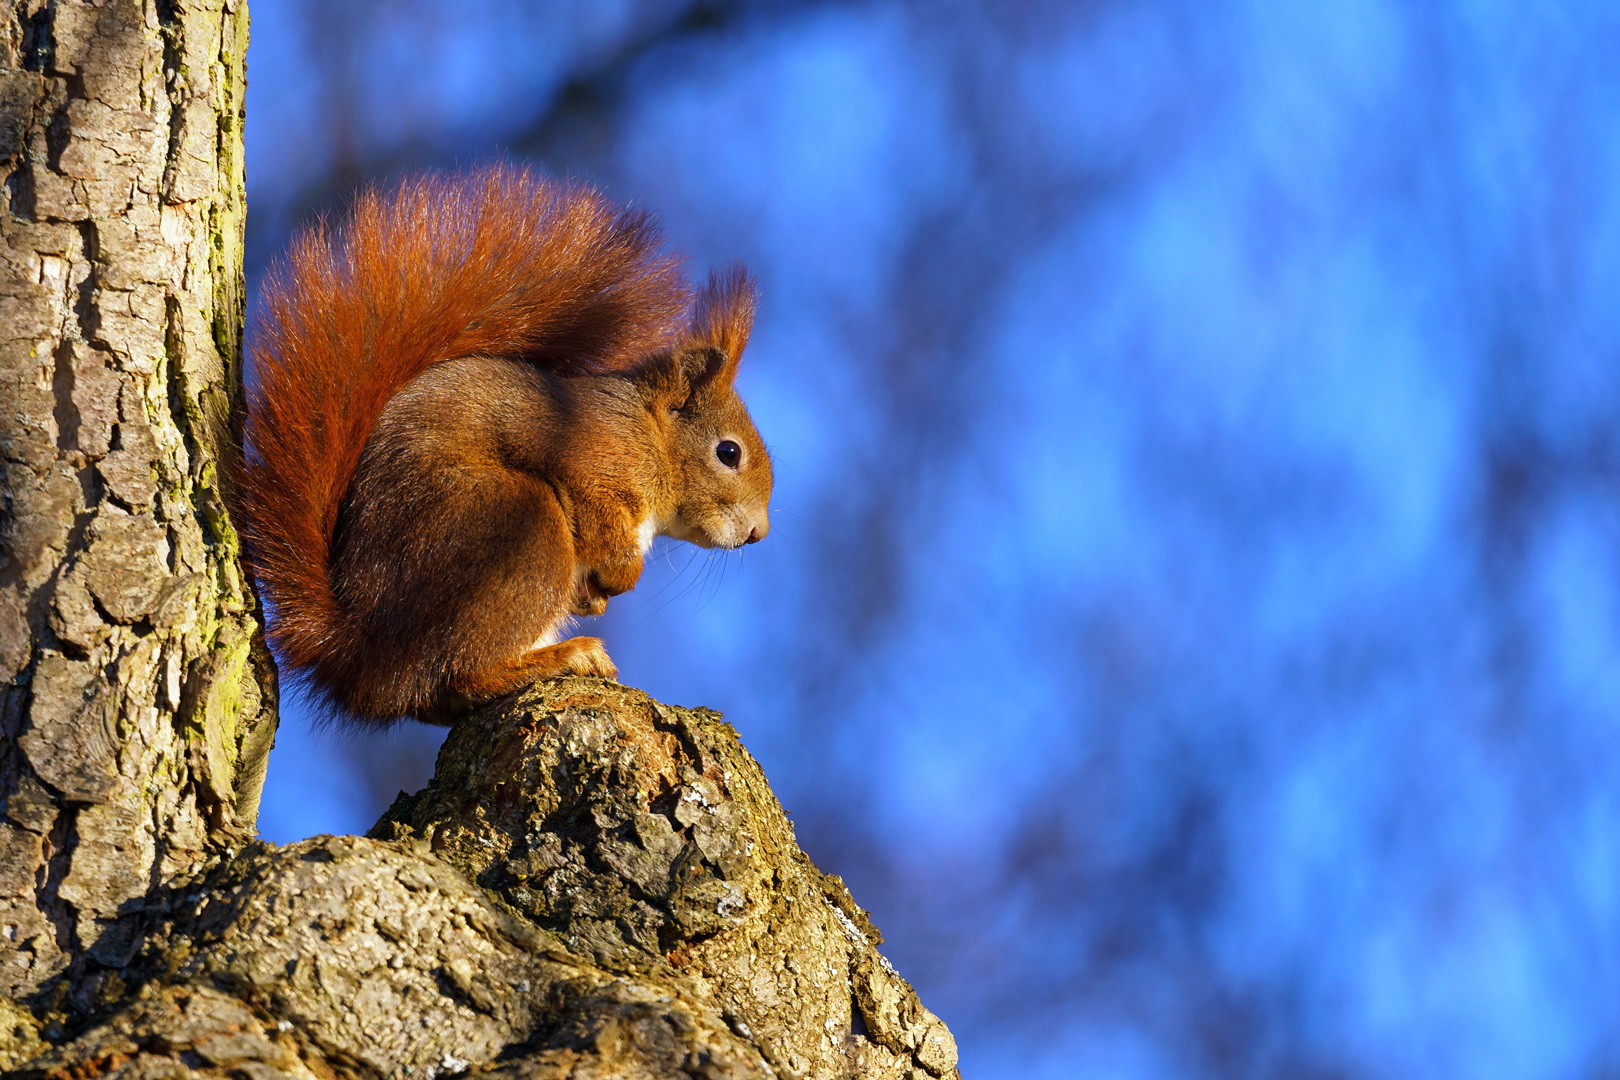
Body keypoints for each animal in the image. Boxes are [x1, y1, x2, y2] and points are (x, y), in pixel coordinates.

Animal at [236, 166, 774, 725]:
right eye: (729, 453)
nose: (759, 533)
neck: (648, 432)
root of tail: (362, 653)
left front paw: (596, 599)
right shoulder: (591, 460)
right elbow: (601, 518)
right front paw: (623, 577)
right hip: (515, 527)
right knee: (462, 676)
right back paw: (566, 655)